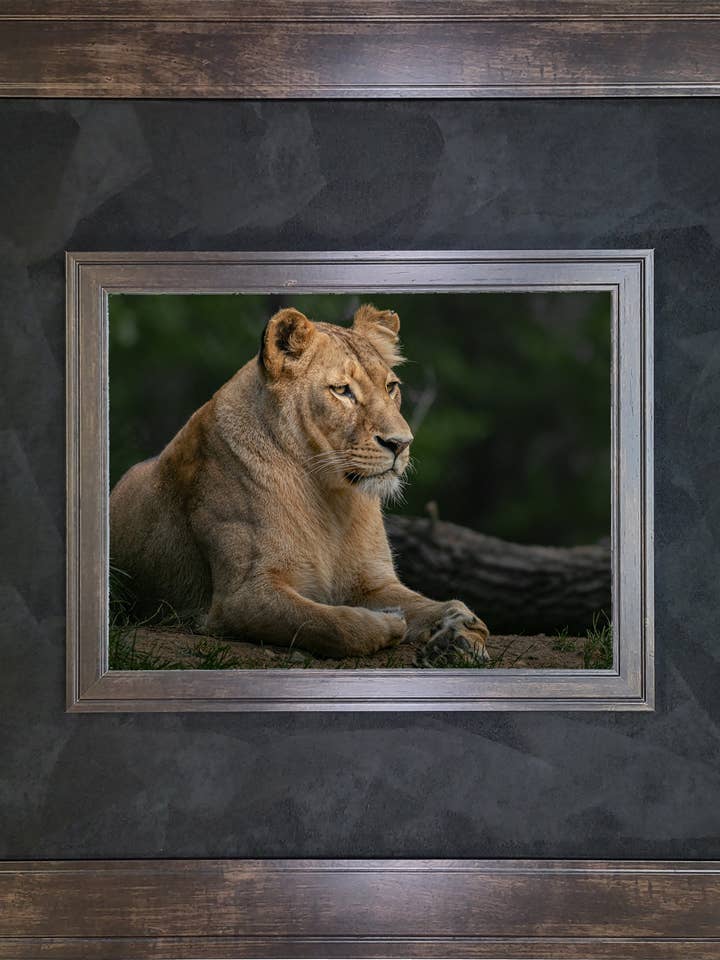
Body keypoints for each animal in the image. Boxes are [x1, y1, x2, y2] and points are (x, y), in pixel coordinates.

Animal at [110, 304, 489, 663]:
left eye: (391, 387)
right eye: (342, 391)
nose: (401, 443)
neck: (333, 497)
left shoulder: (373, 581)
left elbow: (442, 605)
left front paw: (460, 633)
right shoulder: (242, 596)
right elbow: (333, 624)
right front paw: (388, 622)